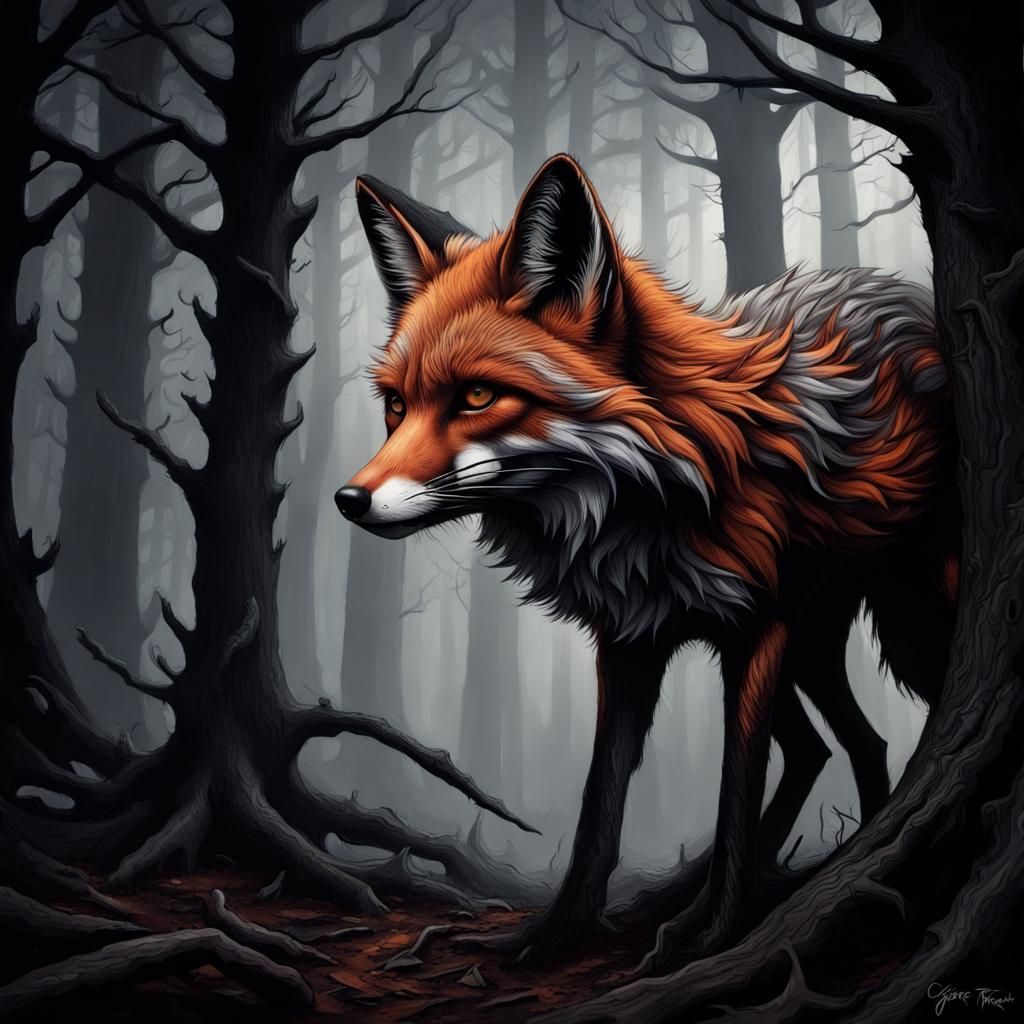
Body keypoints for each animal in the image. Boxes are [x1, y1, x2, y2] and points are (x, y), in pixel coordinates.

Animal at [337, 154, 959, 966]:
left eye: (475, 396)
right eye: (395, 407)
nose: (349, 500)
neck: (649, 507)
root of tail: (908, 297)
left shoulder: (755, 634)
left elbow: (734, 785)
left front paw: (713, 935)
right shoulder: (629, 639)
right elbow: (600, 801)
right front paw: (556, 934)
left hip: (883, 626)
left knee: (854, 736)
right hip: (812, 649)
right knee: (842, 745)